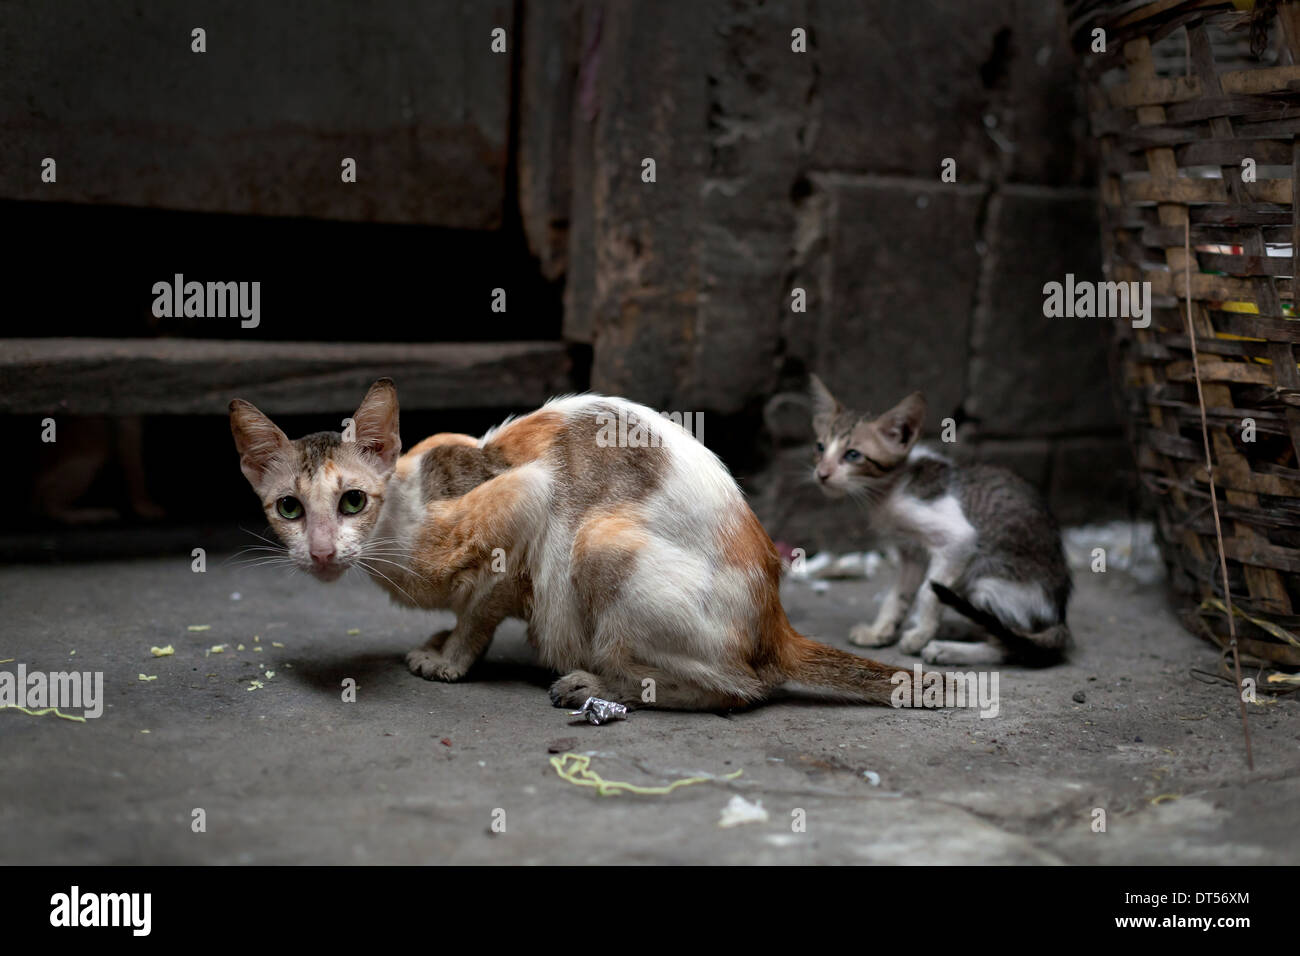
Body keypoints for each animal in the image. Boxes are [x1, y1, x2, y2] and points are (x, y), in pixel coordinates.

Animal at [806, 374, 1071, 665]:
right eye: (820, 447)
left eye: (853, 454)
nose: (822, 473)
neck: (887, 491)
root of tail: (1060, 614)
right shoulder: (910, 552)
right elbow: (898, 594)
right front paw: (880, 630)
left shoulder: (958, 539)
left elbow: (927, 591)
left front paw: (920, 634)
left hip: (988, 582)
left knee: (1009, 644)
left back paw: (948, 648)